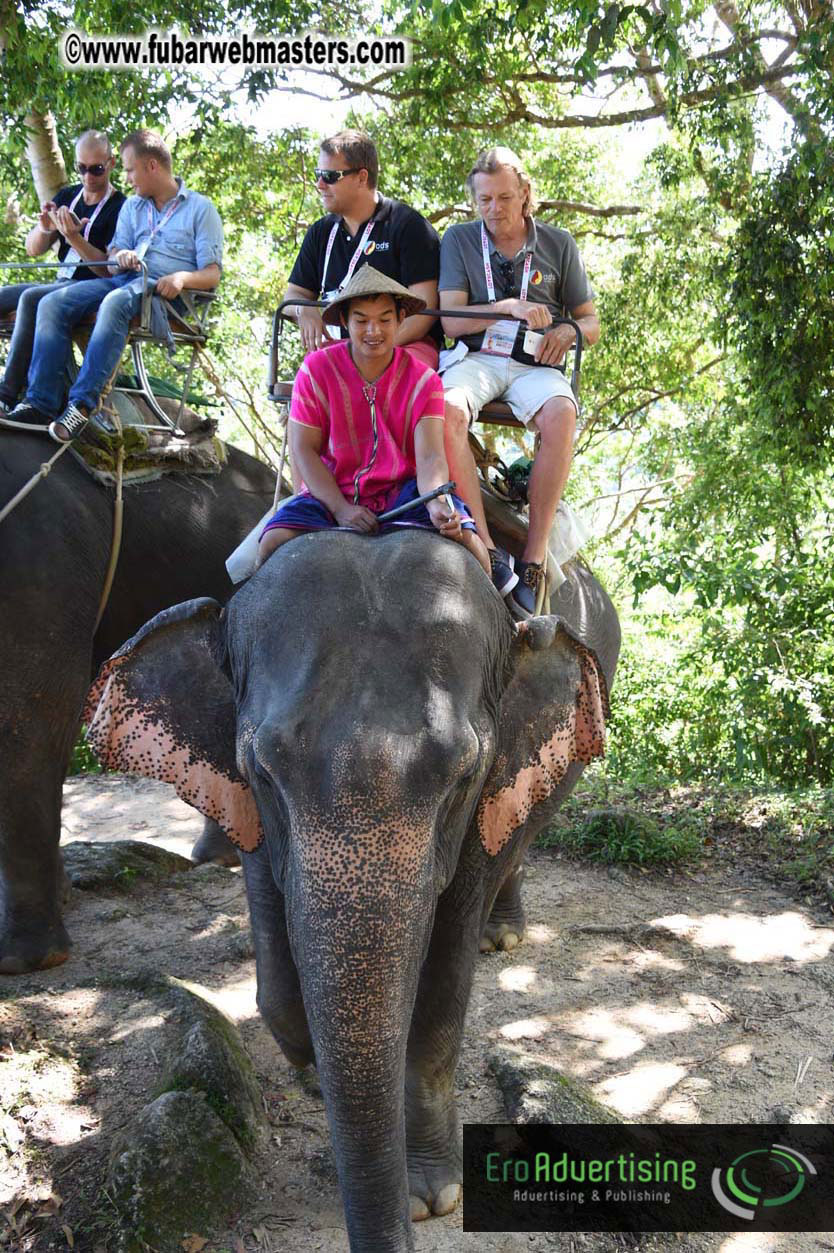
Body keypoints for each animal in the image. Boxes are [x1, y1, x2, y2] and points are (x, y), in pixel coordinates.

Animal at [85, 526, 619, 1252]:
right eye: (262, 771)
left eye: (462, 777)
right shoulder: (245, 804)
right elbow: (278, 980)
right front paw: (313, 1075)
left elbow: (444, 985)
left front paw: (430, 1194)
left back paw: (501, 935)